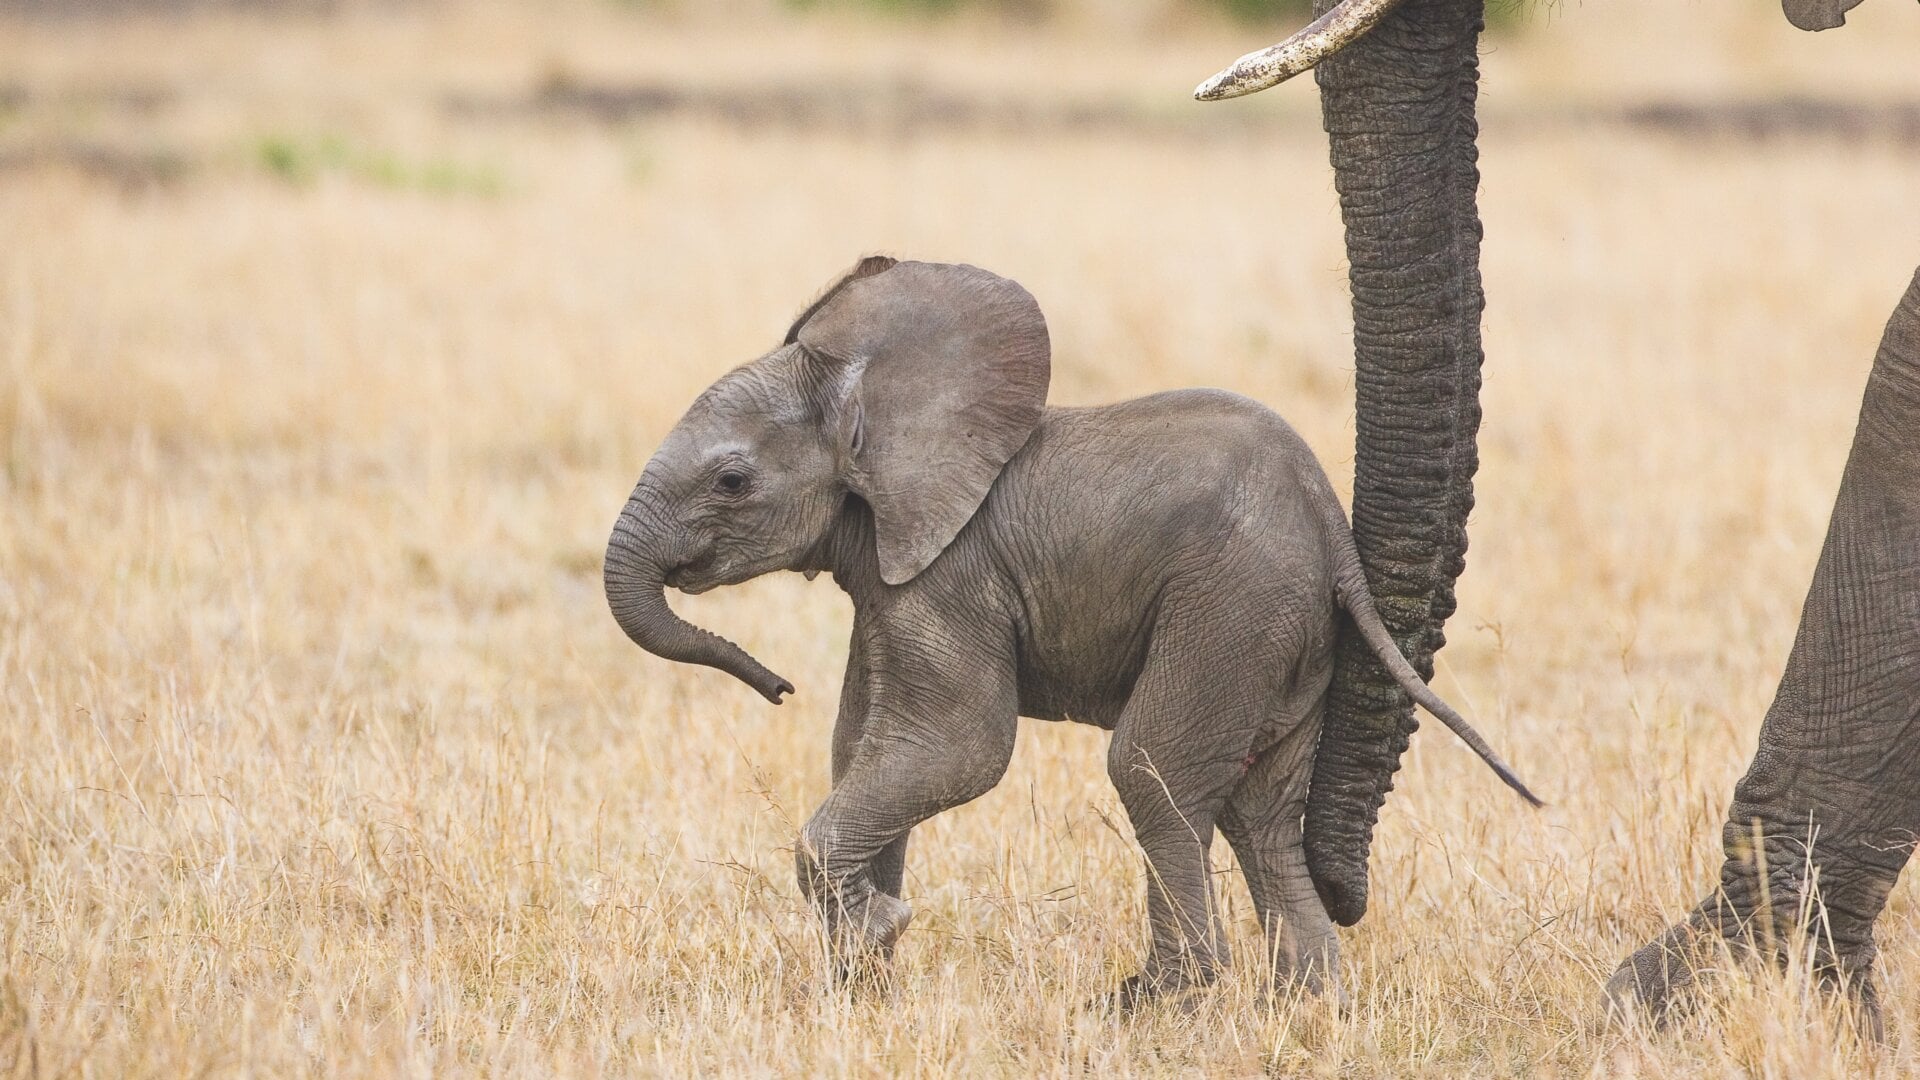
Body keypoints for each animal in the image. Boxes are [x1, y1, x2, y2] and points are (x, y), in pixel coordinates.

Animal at [603, 256, 1539, 1001]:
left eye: (730, 481)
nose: (776, 686)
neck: (880, 400)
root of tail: (1331, 530)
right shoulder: (892, 578)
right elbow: (862, 747)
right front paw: (859, 981)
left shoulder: (951, 576)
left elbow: (956, 749)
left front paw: (875, 933)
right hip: (1284, 633)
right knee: (1261, 813)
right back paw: (1310, 1009)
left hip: (1234, 606)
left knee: (1152, 768)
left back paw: (1157, 1003)